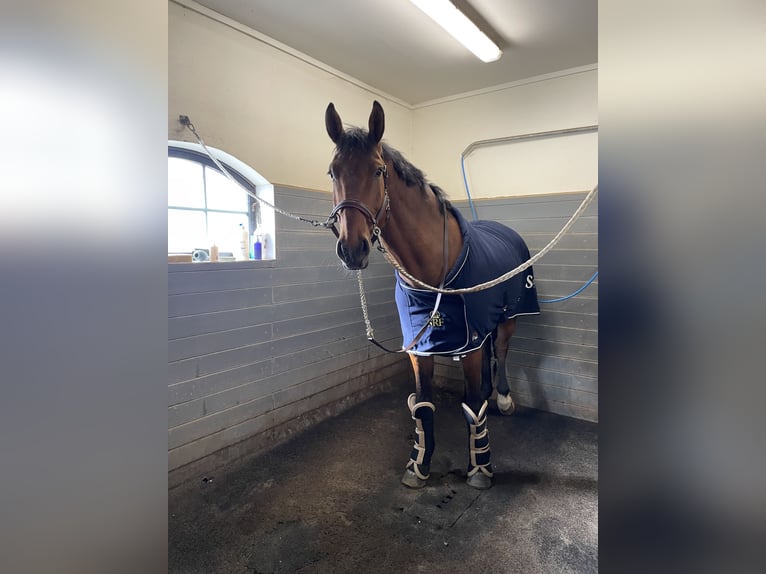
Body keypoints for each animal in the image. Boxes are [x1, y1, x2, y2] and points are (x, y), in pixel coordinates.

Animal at [324, 100, 540, 490]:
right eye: (333, 173)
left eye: (378, 171)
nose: (352, 249)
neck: (431, 268)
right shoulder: (419, 345)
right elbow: (423, 406)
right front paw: (418, 465)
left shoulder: (468, 342)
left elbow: (472, 406)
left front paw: (480, 468)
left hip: (509, 317)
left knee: (501, 351)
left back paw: (502, 399)